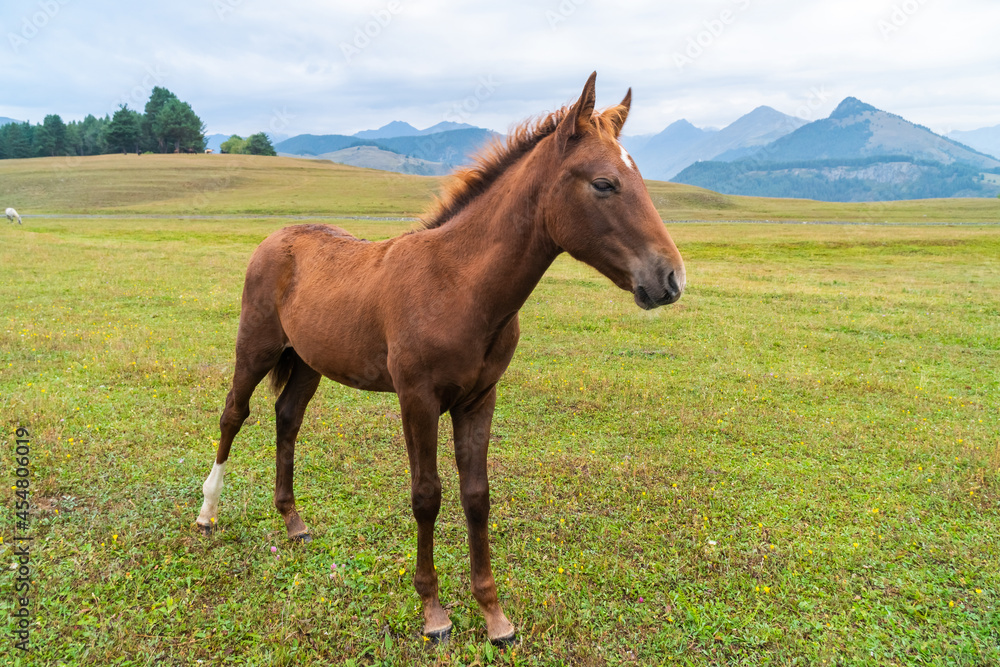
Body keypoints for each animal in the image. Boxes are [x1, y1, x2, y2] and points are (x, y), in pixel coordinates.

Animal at [194, 72, 685, 645]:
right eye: (605, 183)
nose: (670, 278)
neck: (459, 284)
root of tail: (276, 237)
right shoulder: (418, 399)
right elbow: (427, 495)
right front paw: (434, 612)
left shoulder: (479, 400)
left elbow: (477, 496)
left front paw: (494, 614)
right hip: (256, 346)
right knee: (234, 413)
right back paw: (207, 512)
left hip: (308, 363)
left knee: (287, 420)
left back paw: (293, 522)